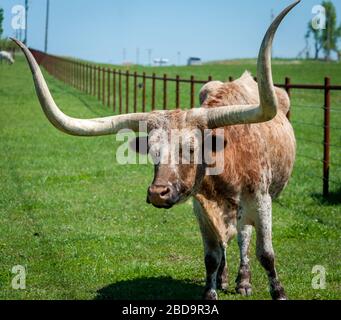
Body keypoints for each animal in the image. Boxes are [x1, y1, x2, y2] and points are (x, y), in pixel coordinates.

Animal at [14, 0, 298, 300]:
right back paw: (228, 278)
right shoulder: (201, 208)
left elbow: (266, 253)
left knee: (244, 236)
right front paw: (212, 290)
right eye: (151, 151)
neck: (227, 167)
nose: (157, 193)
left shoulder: (262, 201)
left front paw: (278, 291)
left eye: (192, 148)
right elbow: (211, 256)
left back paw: (243, 280)